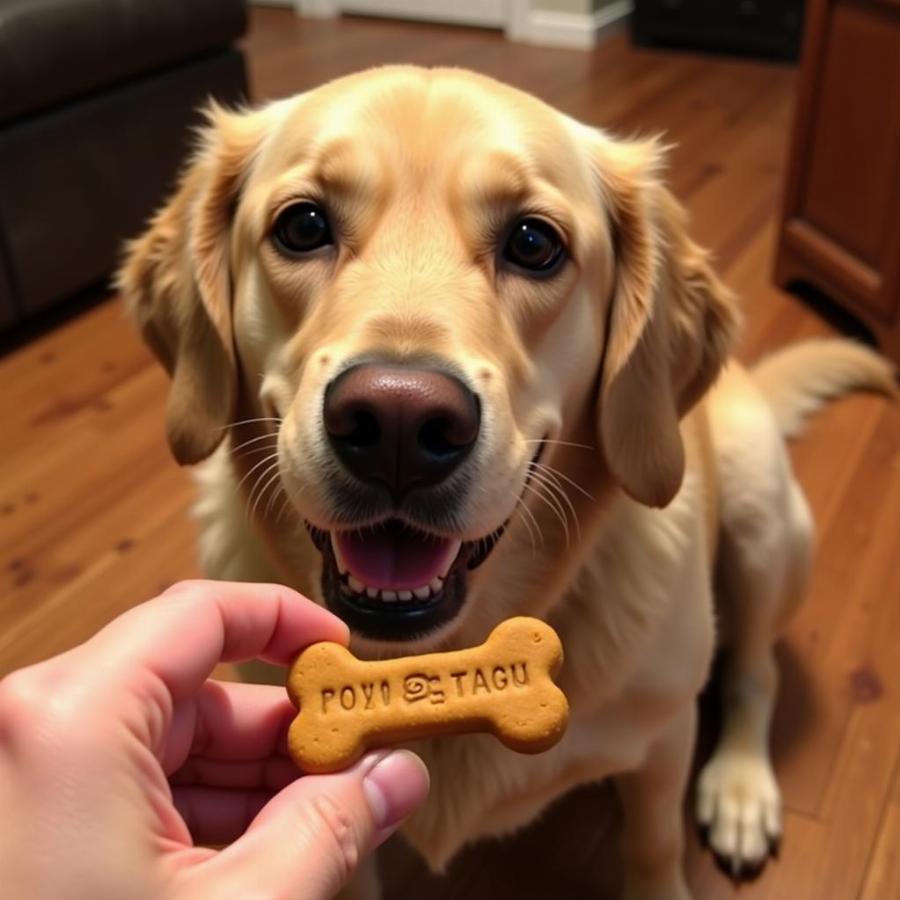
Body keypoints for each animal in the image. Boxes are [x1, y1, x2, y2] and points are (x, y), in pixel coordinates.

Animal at [118, 67, 892, 896]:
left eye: (533, 243)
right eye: (302, 226)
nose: (397, 424)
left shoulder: (663, 740)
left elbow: (653, 843)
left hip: (760, 516)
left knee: (756, 669)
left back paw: (742, 788)